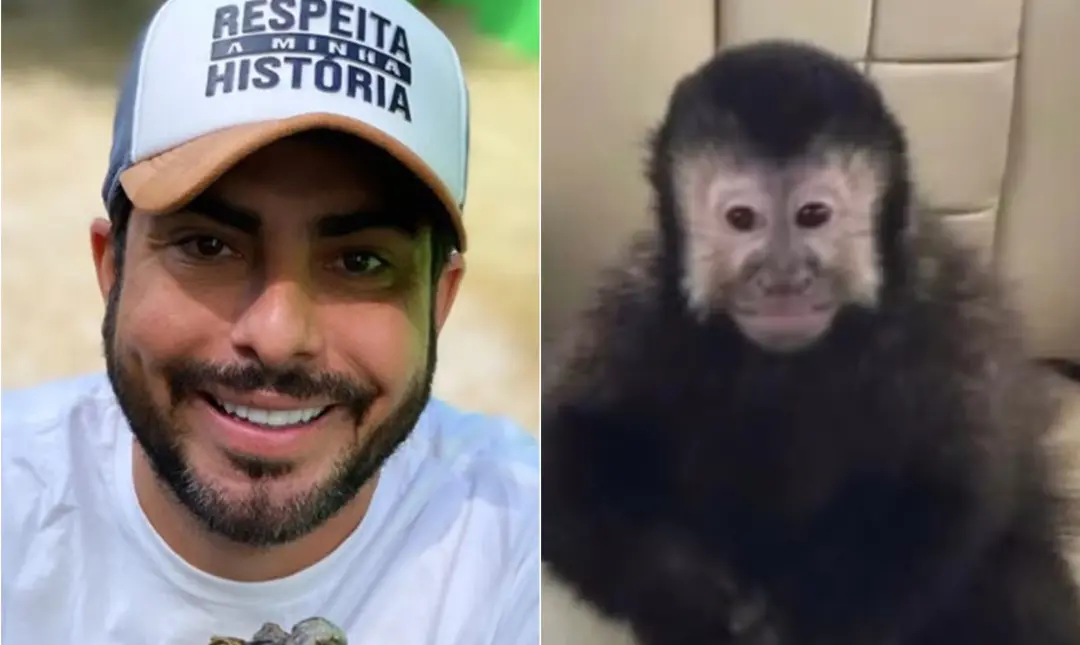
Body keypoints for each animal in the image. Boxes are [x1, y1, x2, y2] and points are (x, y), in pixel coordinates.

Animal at [541, 39, 1080, 645]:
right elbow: (568, 449)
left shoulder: (946, 314)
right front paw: (698, 603)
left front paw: (807, 620)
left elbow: (950, 492)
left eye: (813, 215)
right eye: (742, 219)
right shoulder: (637, 306)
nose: (783, 278)